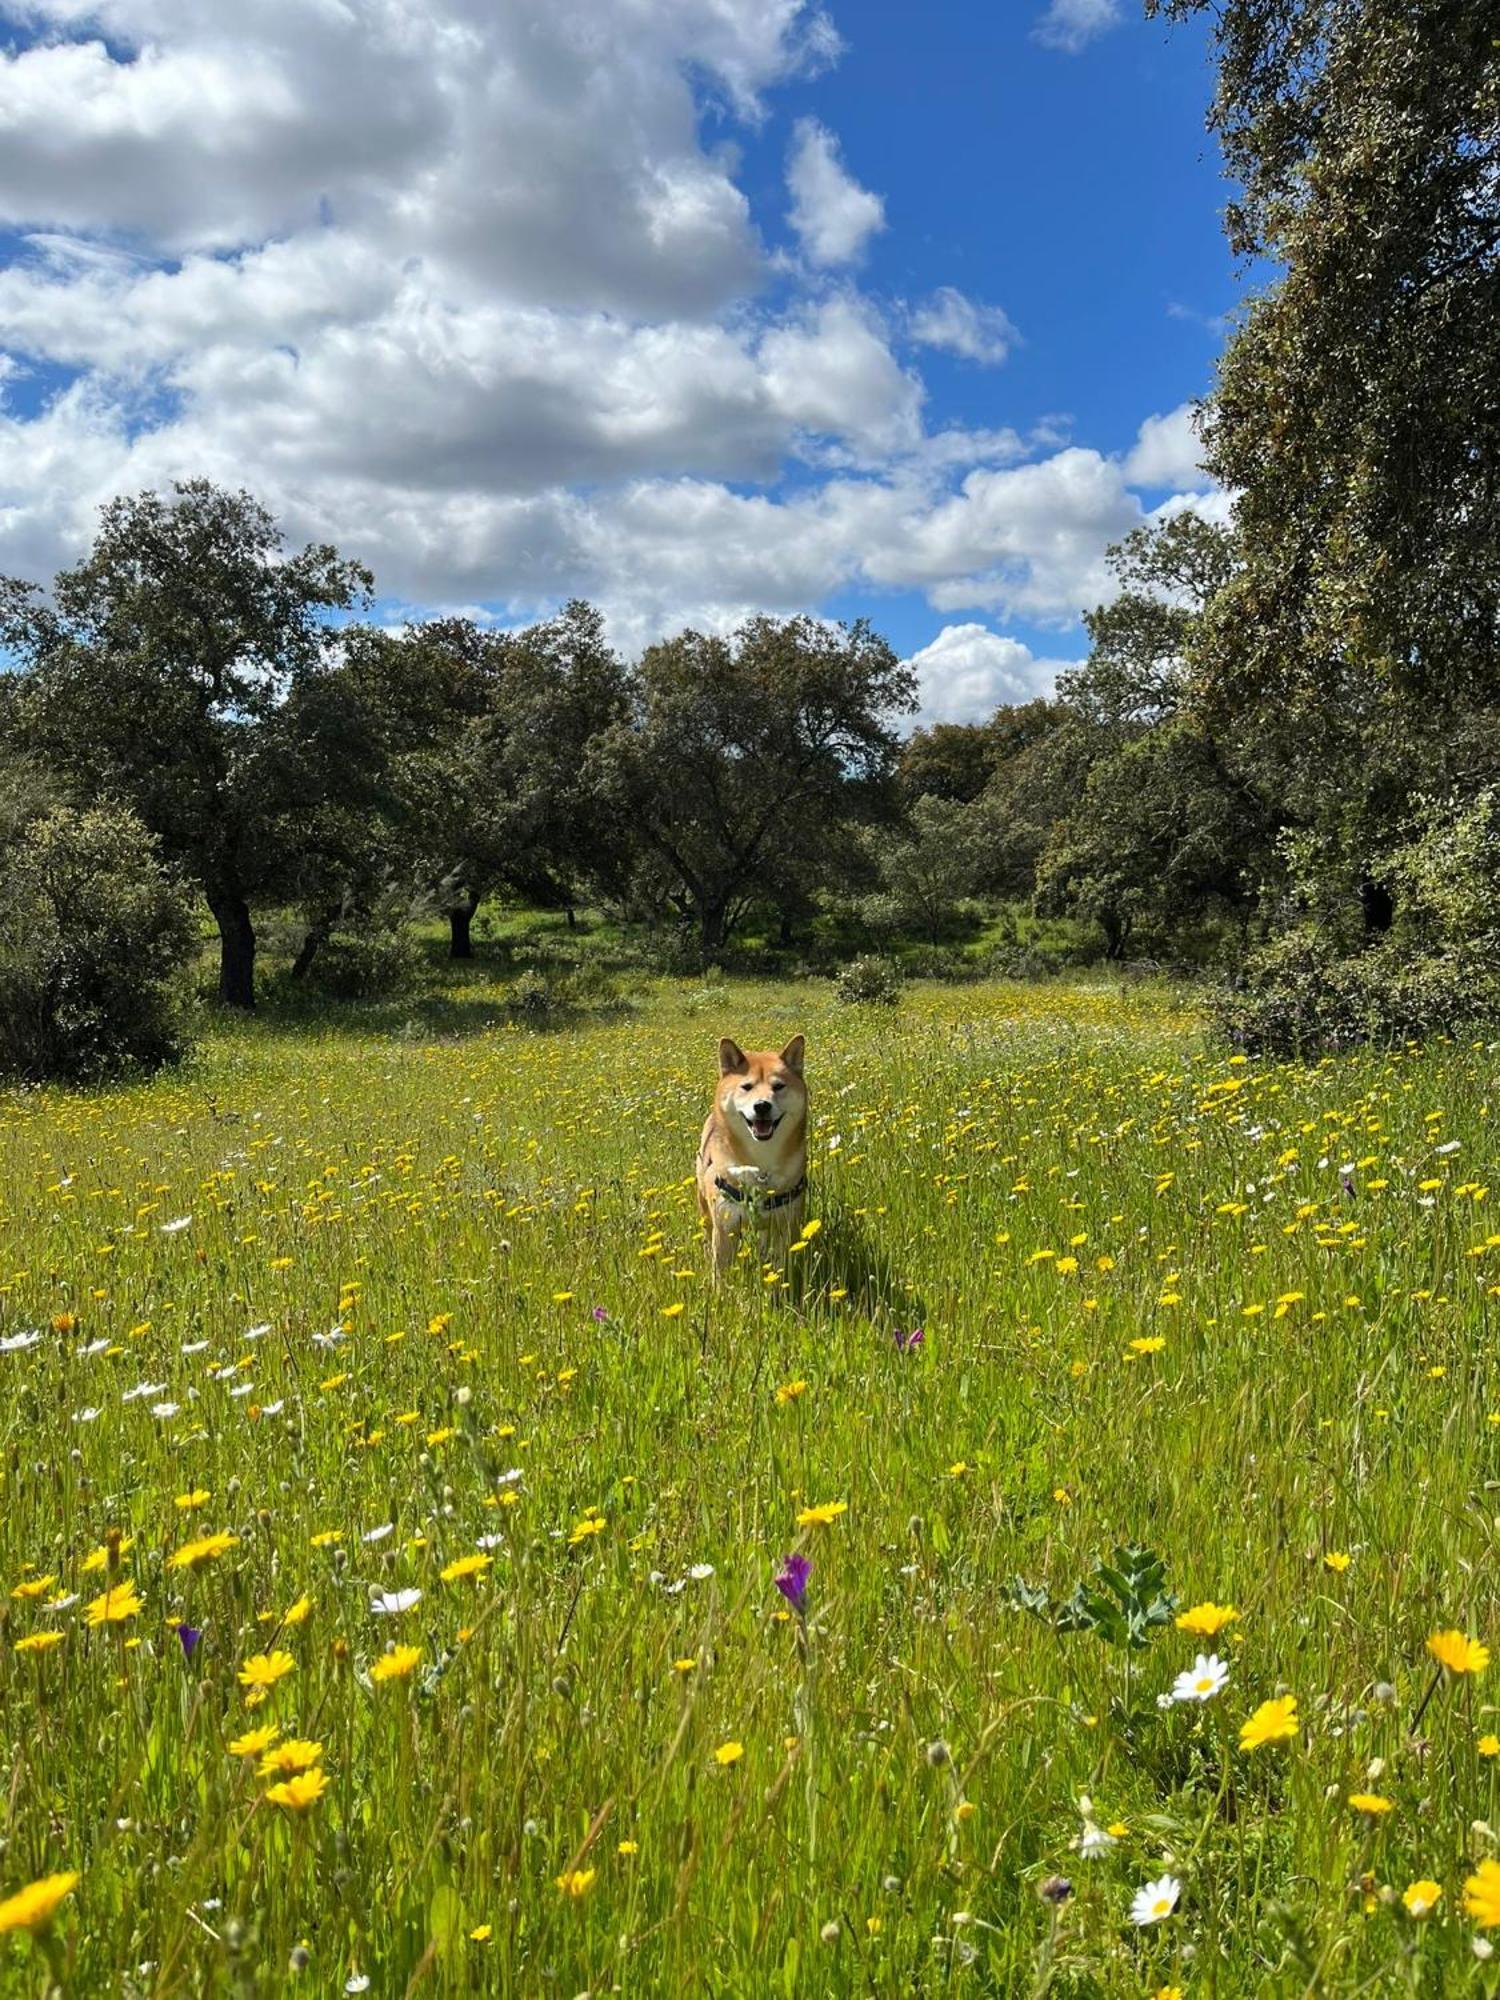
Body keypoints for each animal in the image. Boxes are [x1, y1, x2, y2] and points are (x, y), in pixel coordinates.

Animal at [696, 1040, 812, 1272]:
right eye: (747, 1087)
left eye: (778, 1086)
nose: (762, 1105)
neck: (760, 1167)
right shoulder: (725, 1230)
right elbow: (720, 1275)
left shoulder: (785, 1226)